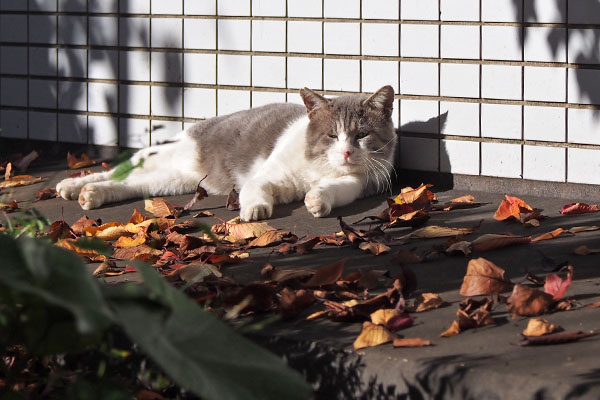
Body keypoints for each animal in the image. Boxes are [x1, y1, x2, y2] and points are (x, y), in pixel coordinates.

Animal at [54, 85, 396, 222]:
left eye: (361, 135)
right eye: (332, 135)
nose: (347, 152)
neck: (318, 168)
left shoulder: (356, 183)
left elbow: (335, 191)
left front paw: (316, 200)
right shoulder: (265, 176)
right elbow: (255, 190)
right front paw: (254, 210)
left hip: (172, 181)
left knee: (128, 185)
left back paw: (91, 194)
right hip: (165, 156)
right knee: (115, 171)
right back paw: (72, 185)